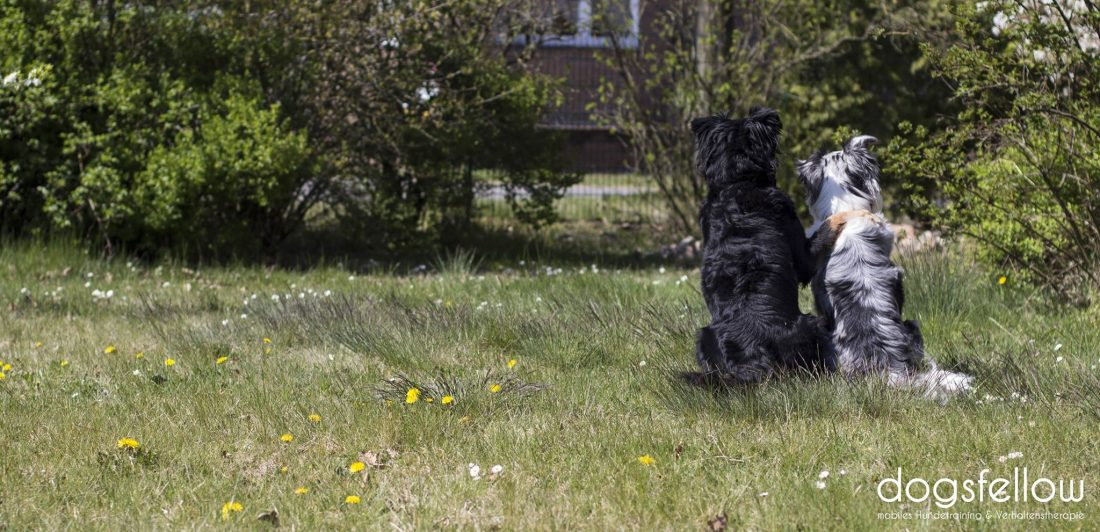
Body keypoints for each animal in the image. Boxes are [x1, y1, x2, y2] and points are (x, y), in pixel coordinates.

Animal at [690, 108, 827, 382]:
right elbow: (819, 234)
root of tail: (753, 358)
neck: (737, 185)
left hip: (703, 335)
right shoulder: (802, 254)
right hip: (811, 325)